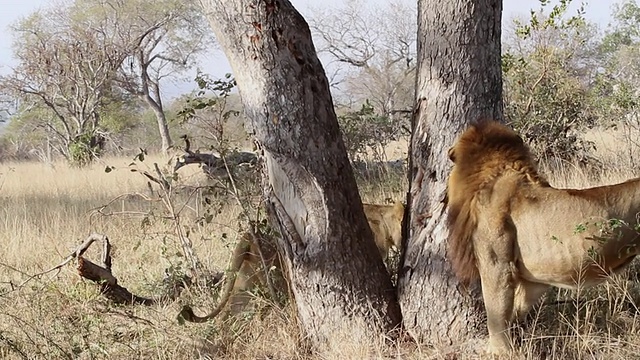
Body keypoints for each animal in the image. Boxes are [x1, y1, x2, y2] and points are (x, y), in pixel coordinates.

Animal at [448, 120, 640, 354]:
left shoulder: (497, 265)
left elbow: (496, 314)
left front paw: (498, 352)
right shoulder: (532, 278)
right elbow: (515, 311)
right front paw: (518, 340)